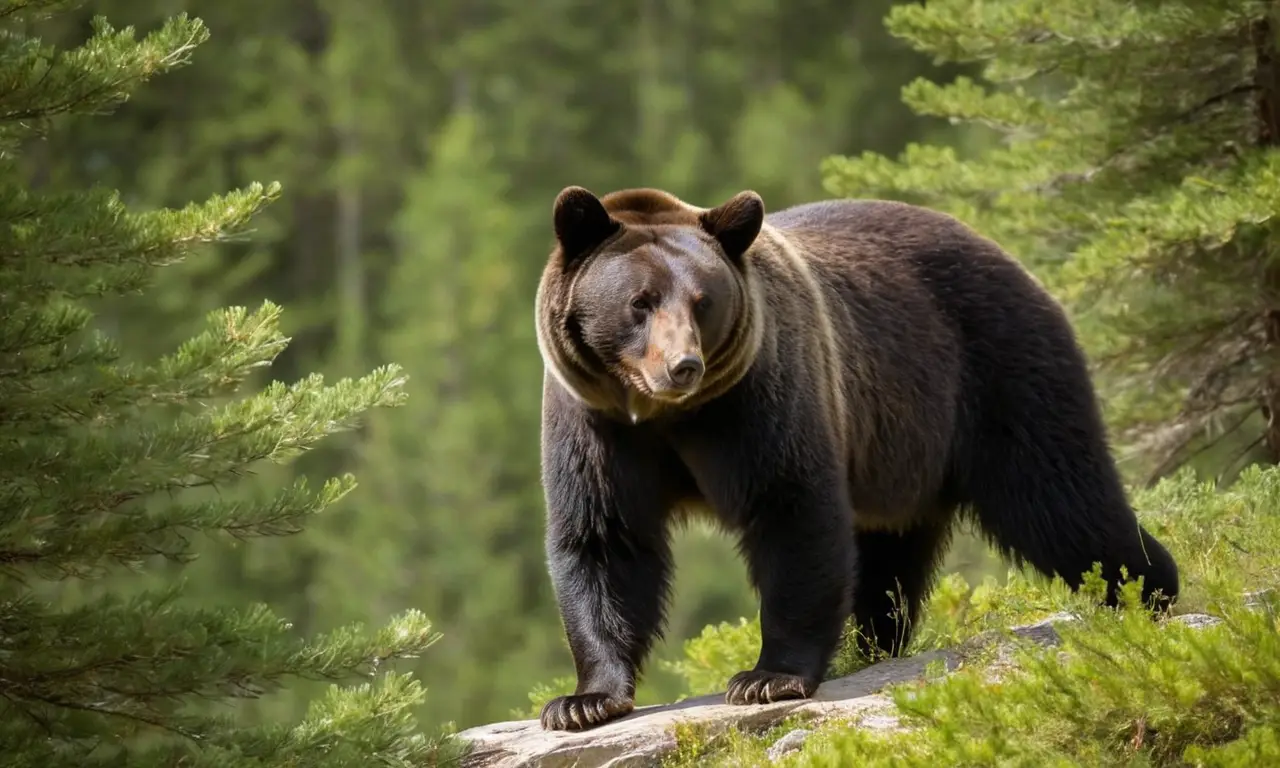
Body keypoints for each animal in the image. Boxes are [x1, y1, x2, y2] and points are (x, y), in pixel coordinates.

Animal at [532, 185, 1180, 732]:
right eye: (639, 302)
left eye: (703, 301)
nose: (682, 366)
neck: (668, 416)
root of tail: (1007, 256)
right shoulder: (595, 426)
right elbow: (604, 539)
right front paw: (583, 701)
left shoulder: (760, 401)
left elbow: (792, 512)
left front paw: (766, 678)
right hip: (906, 450)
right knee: (891, 562)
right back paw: (873, 647)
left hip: (996, 371)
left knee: (1060, 501)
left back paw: (1148, 589)